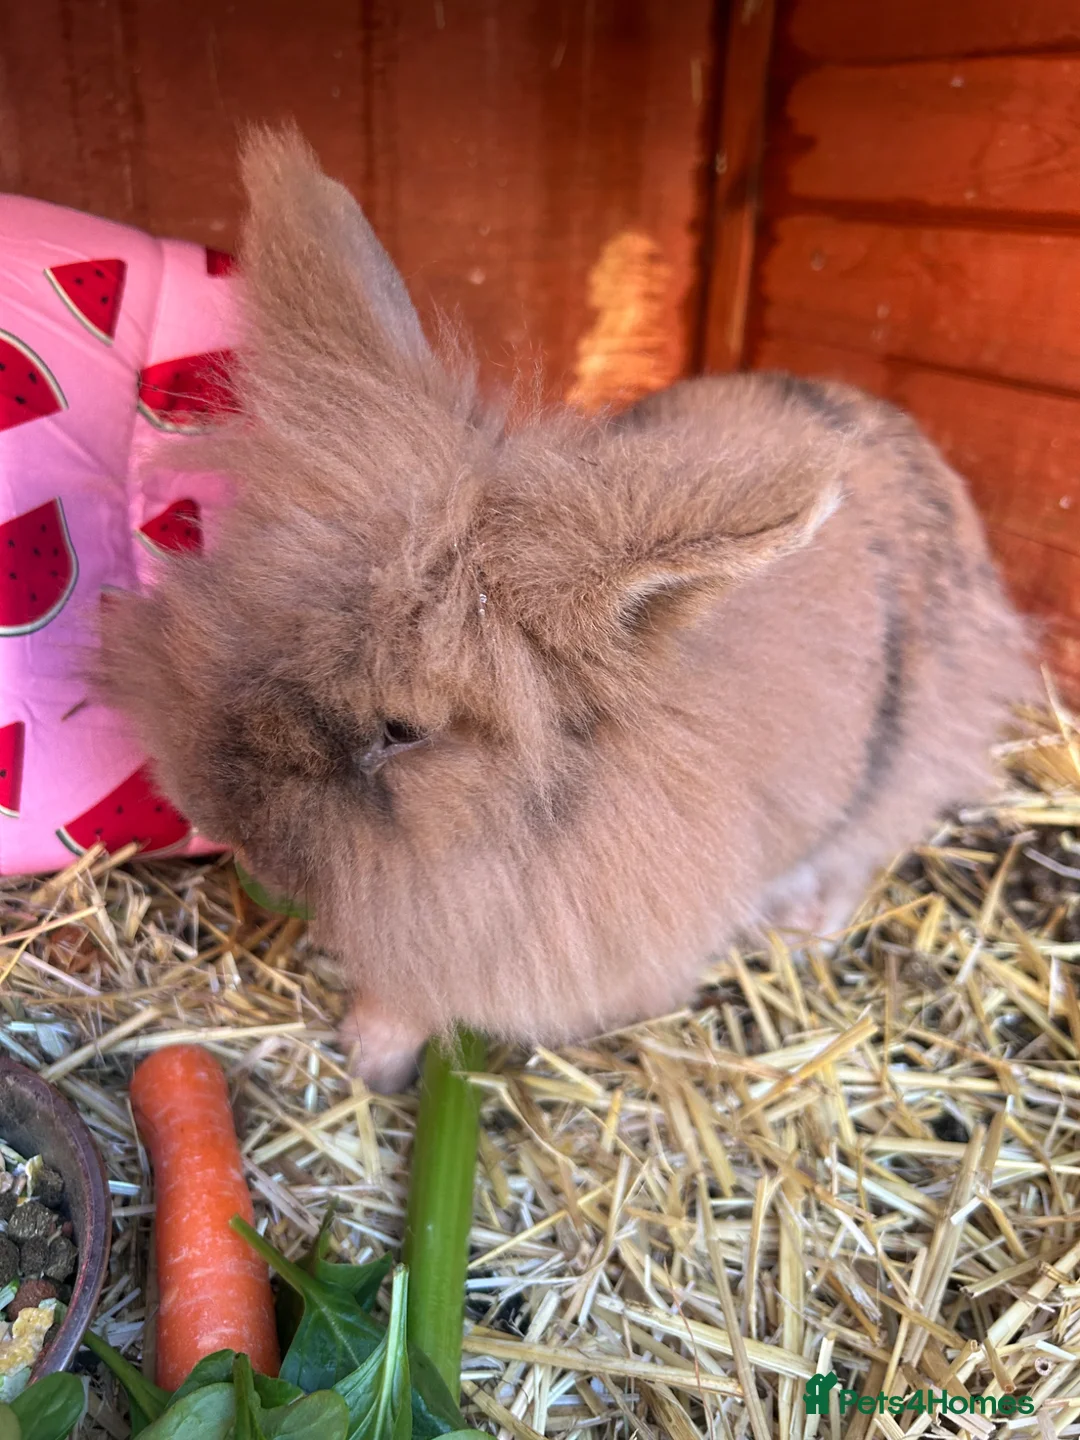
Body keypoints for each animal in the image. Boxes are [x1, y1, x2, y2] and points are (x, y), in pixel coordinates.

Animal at [98, 127, 1036, 1092]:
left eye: (402, 730)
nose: (221, 822)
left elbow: (417, 995)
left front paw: (370, 1060)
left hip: (899, 770)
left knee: (858, 854)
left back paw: (804, 932)